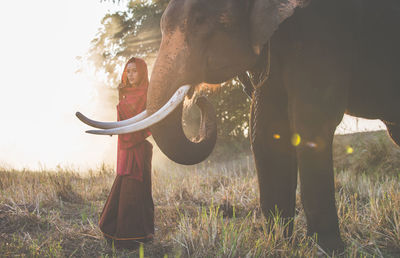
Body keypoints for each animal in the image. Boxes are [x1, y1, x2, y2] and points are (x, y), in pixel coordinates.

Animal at [77, 0, 400, 254]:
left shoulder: (323, 30)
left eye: (200, 20)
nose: (199, 99)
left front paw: (327, 250)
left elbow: (311, 122)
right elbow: (268, 131)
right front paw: (278, 243)